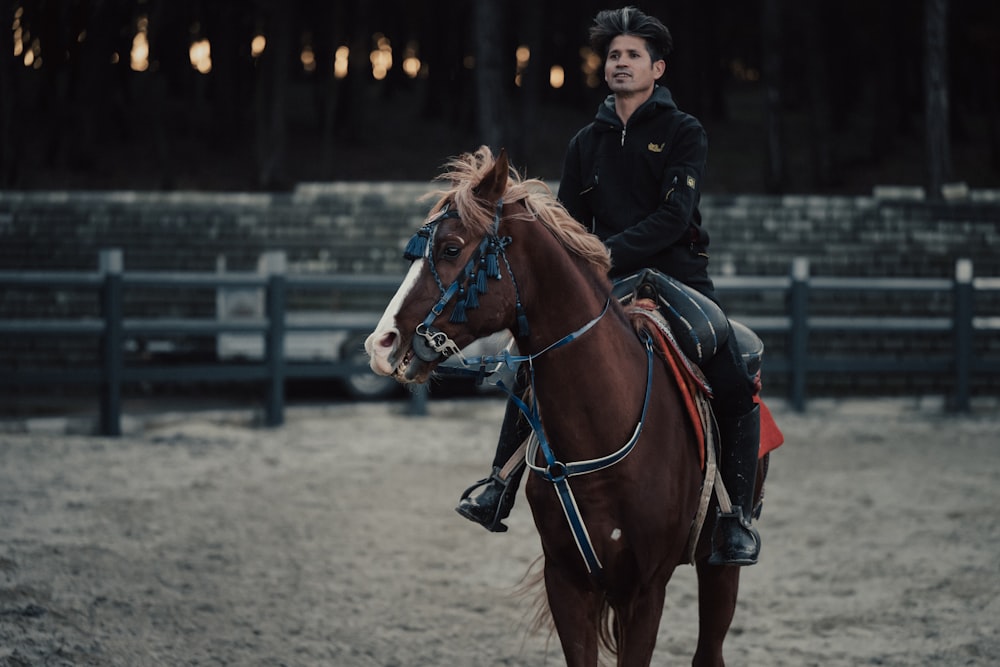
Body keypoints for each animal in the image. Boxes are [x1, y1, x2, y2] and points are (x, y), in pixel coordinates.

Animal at [368, 147, 764, 667]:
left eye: (452, 248)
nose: (381, 343)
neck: (604, 425)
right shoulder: (569, 581)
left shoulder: (646, 590)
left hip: (718, 566)